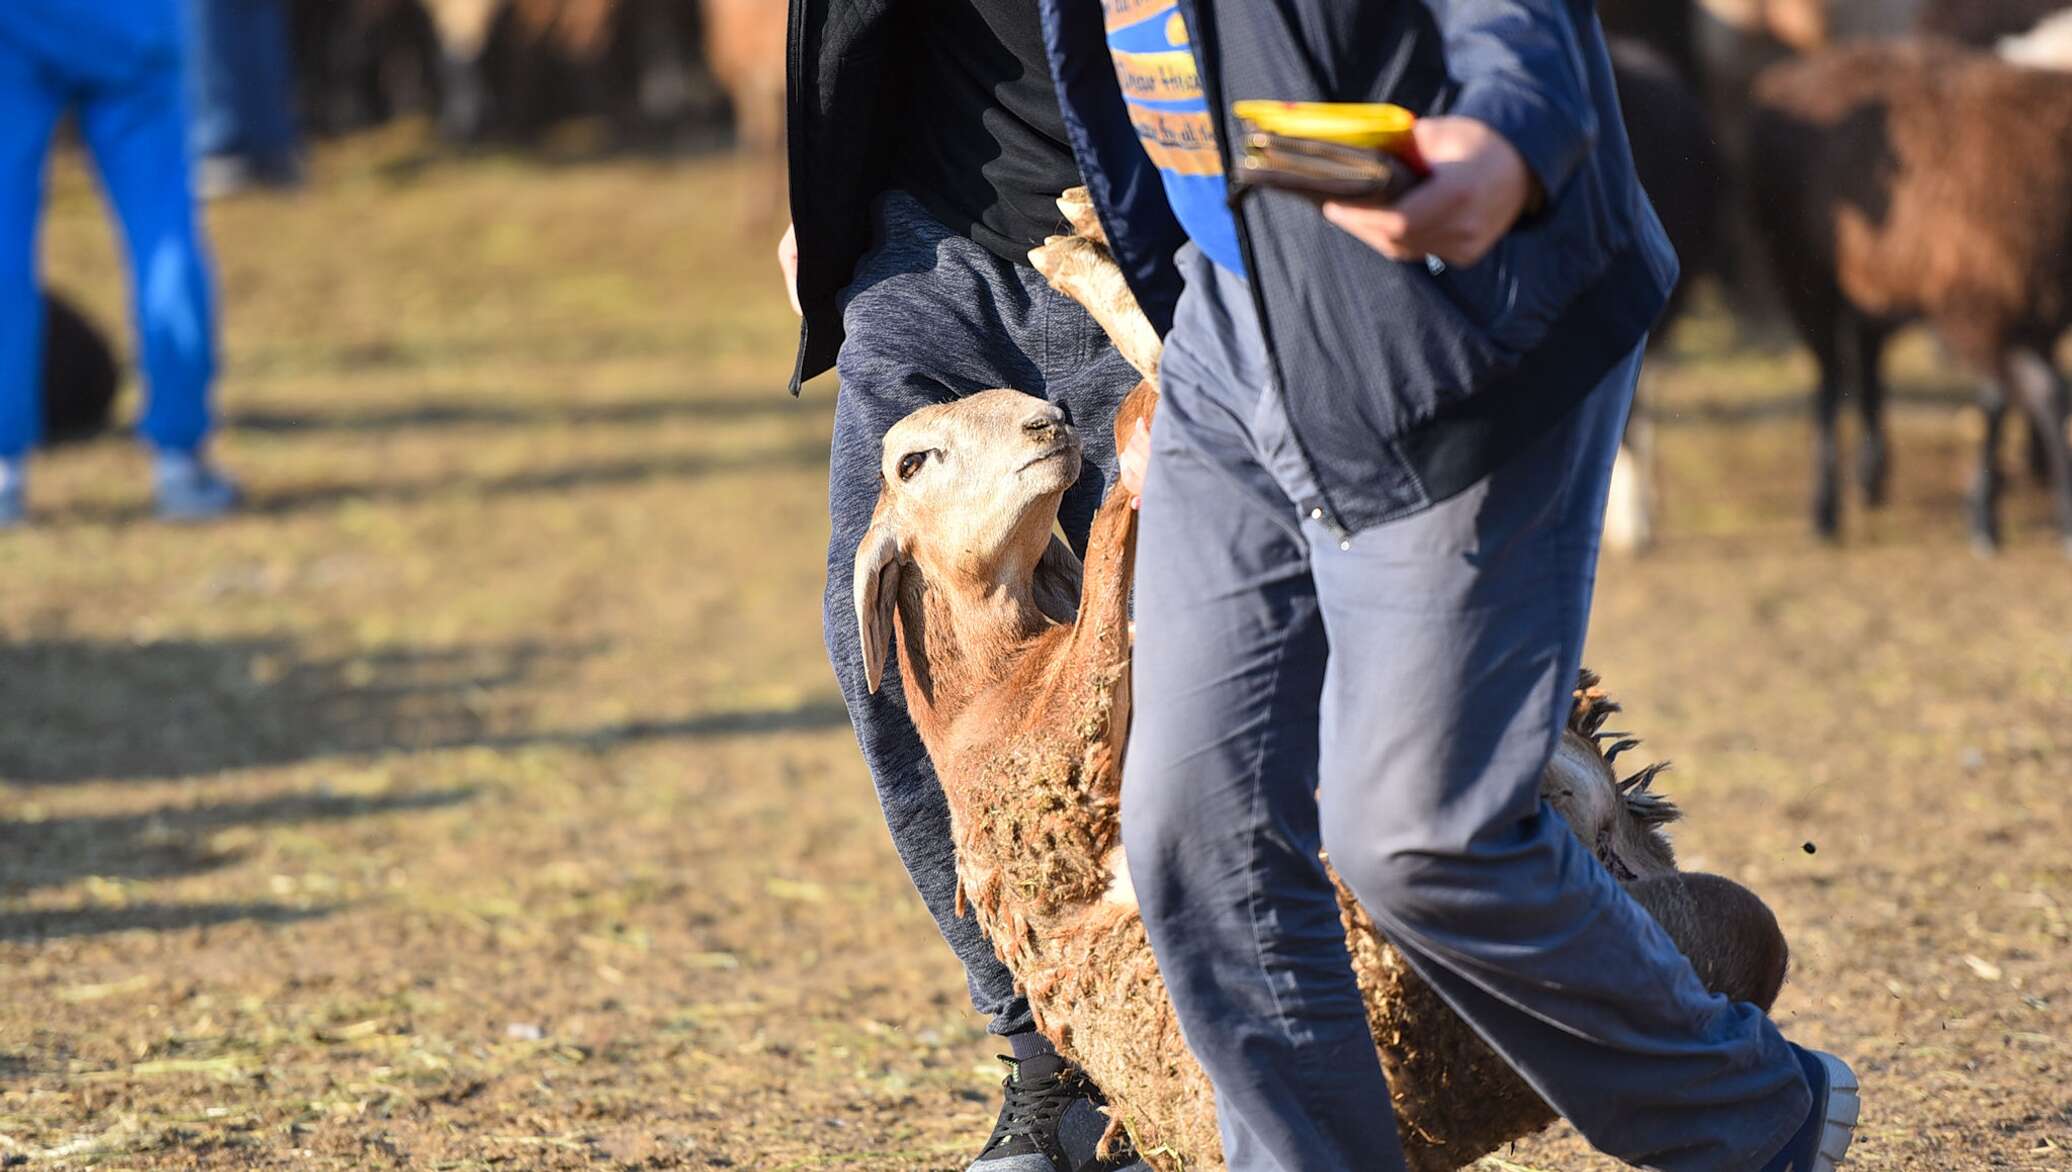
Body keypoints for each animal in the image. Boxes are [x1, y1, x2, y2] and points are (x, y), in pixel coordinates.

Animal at [1748, 36, 2072, 550]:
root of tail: (1787, 75)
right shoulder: (1981, 305)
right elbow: (2048, 395)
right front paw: (2055, 519)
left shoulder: (2028, 310)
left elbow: (1998, 401)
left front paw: (1983, 510)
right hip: (1799, 268)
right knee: (1829, 376)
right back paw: (1825, 509)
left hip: (1874, 275)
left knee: (1867, 353)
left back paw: (1871, 475)